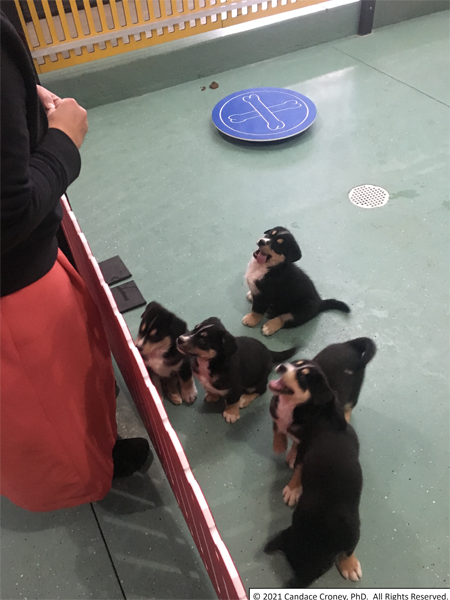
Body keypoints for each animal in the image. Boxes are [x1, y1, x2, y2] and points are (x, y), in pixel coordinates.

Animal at [268, 338, 374, 506]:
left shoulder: (309, 445)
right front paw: (280, 445)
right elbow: (277, 427)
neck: (292, 405)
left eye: (303, 378)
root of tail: (350, 345)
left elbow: (300, 467)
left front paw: (293, 490)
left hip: (354, 393)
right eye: (295, 363)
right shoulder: (274, 409)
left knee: (348, 407)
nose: (283, 366)